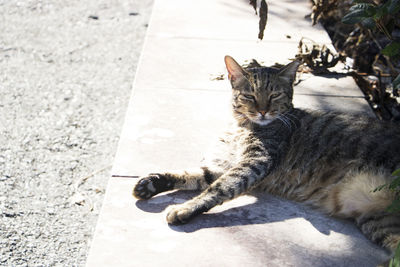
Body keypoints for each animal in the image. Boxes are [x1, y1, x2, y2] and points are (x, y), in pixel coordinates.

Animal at [133, 55, 400, 258]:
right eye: (250, 95)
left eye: (275, 96)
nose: (262, 111)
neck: (240, 126)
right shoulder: (220, 165)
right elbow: (188, 175)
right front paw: (152, 182)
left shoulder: (254, 163)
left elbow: (219, 188)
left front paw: (184, 208)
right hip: (380, 223)